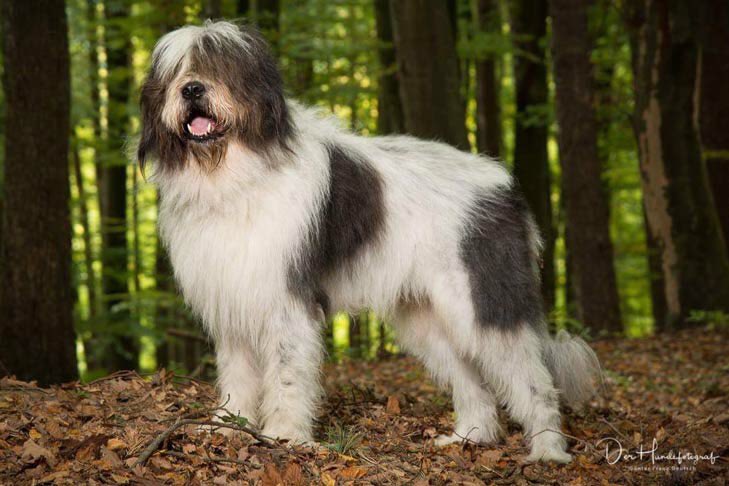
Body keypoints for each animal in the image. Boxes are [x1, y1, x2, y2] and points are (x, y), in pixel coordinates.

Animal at [139, 21, 600, 464]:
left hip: (485, 301)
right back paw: (470, 436)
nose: (192, 89)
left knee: (535, 381)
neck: (235, 173)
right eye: (177, 72)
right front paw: (226, 426)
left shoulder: (288, 301)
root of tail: (508, 189)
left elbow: (288, 375)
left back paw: (548, 451)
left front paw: (285, 435)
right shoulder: (233, 295)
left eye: (222, 66)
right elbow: (237, 373)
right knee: (471, 380)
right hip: (427, 318)